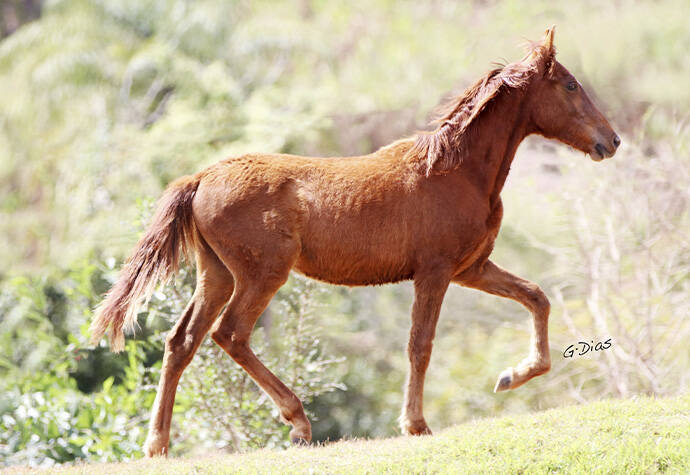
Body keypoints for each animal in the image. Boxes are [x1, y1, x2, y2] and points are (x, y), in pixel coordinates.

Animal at [90, 27, 620, 458]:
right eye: (570, 85)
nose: (612, 141)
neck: (457, 171)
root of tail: (201, 178)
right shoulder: (435, 272)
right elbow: (420, 344)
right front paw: (416, 424)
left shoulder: (472, 268)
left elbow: (537, 297)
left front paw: (511, 376)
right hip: (262, 274)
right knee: (230, 334)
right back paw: (298, 423)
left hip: (216, 273)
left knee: (182, 341)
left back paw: (158, 445)